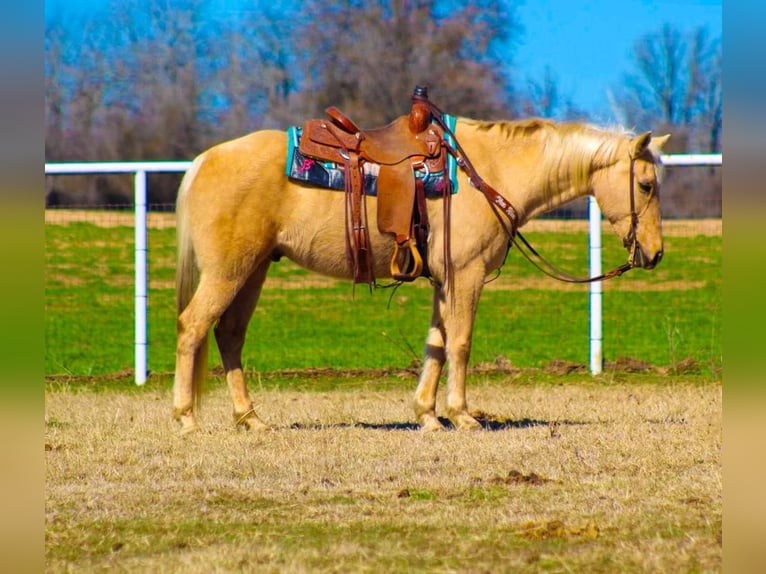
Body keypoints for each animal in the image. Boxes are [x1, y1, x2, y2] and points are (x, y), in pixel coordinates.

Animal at [171, 116, 668, 432]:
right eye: (646, 184)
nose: (656, 253)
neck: (488, 171)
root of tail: (203, 161)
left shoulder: (443, 280)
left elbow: (436, 344)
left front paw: (428, 415)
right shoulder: (466, 275)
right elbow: (461, 343)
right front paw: (463, 415)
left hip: (252, 270)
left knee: (229, 334)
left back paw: (250, 418)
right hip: (228, 271)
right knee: (193, 327)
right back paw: (186, 418)